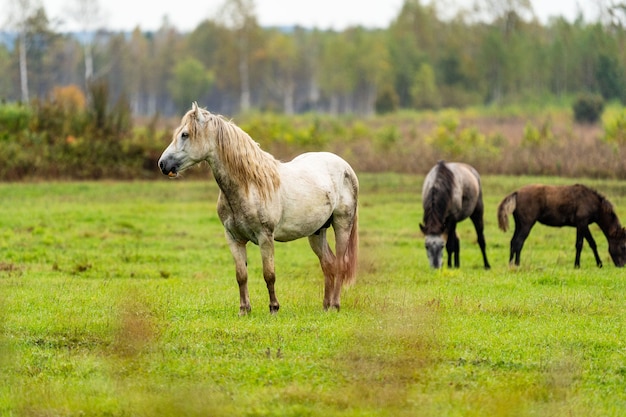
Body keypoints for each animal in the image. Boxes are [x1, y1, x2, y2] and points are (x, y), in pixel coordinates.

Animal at [158, 102, 358, 314]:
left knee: (340, 264)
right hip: (317, 232)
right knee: (328, 264)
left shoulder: (265, 237)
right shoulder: (233, 238)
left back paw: (335, 305)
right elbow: (241, 275)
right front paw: (244, 310)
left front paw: (274, 308)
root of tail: (345, 167)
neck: (249, 185)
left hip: (342, 225)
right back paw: (326, 306)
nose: (162, 164)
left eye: (185, 134)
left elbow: (269, 274)